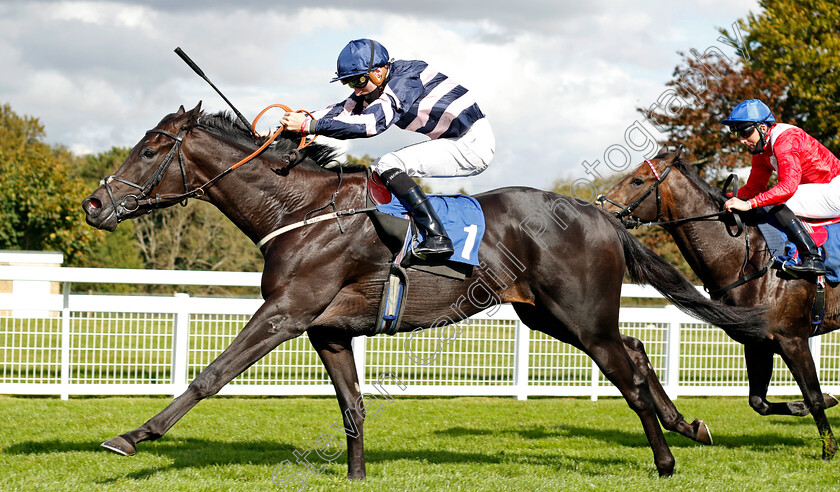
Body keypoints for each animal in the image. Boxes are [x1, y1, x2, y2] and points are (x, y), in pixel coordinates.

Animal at [82, 104, 764, 476]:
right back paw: (687, 427)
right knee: (639, 354)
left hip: (582, 316)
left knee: (629, 375)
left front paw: (133, 436)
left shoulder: (286, 312)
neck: (300, 210)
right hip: (549, 316)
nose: (94, 204)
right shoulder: (328, 330)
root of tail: (598, 215)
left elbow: (212, 374)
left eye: (152, 148)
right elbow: (352, 407)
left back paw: (666, 458)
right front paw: (356, 475)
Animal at [604, 148, 840, 460]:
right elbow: (759, 402)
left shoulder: (793, 340)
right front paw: (822, 400)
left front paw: (829, 449)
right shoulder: (758, 342)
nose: (600, 206)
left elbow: (812, 396)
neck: (750, 259)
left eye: (637, 180)